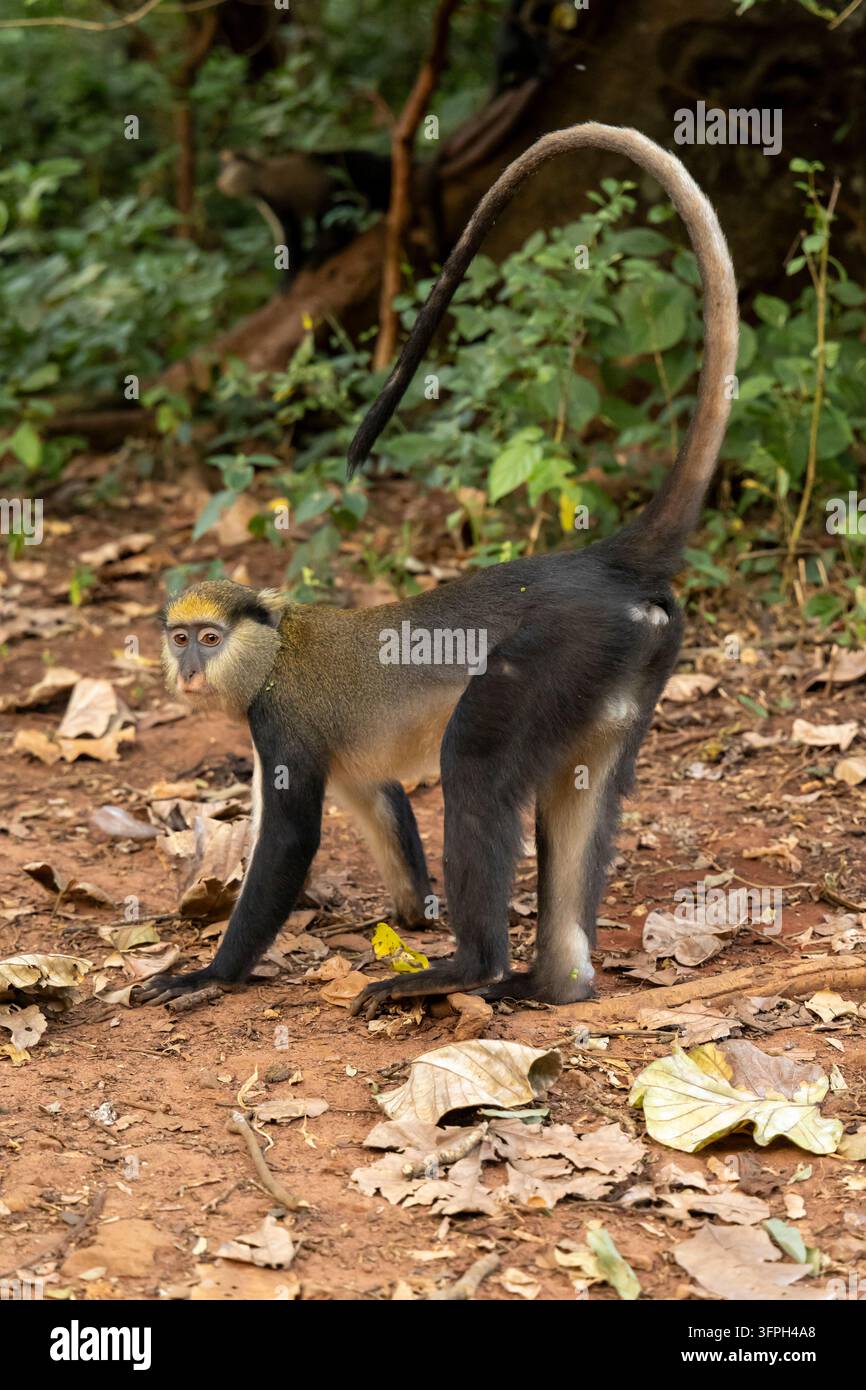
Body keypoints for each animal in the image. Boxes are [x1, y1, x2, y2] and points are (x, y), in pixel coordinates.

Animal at [216, 148, 392, 288]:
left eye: (226, 168)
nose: (219, 181)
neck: (260, 174)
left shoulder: (279, 200)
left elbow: (291, 232)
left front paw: (289, 275)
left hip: (353, 174)